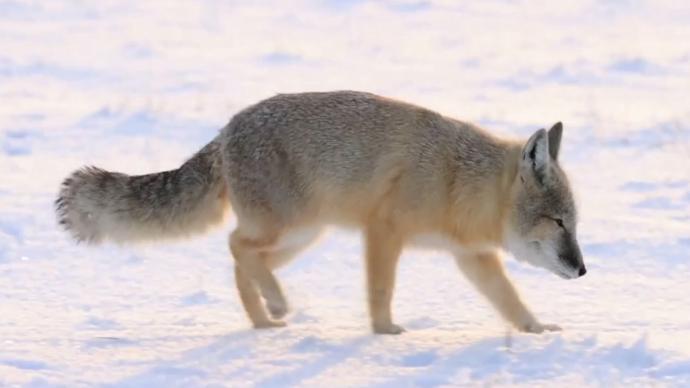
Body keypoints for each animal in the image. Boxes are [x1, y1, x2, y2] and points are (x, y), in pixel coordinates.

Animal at [56, 90, 584, 334]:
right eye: (559, 222)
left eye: (574, 224)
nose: (582, 269)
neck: (458, 180)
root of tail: (226, 130)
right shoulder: (384, 230)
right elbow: (380, 289)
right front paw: (384, 331)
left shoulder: (472, 256)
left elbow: (510, 301)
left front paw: (537, 331)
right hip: (291, 226)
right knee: (235, 246)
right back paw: (274, 308)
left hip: (301, 237)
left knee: (242, 261)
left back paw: (264, 318)